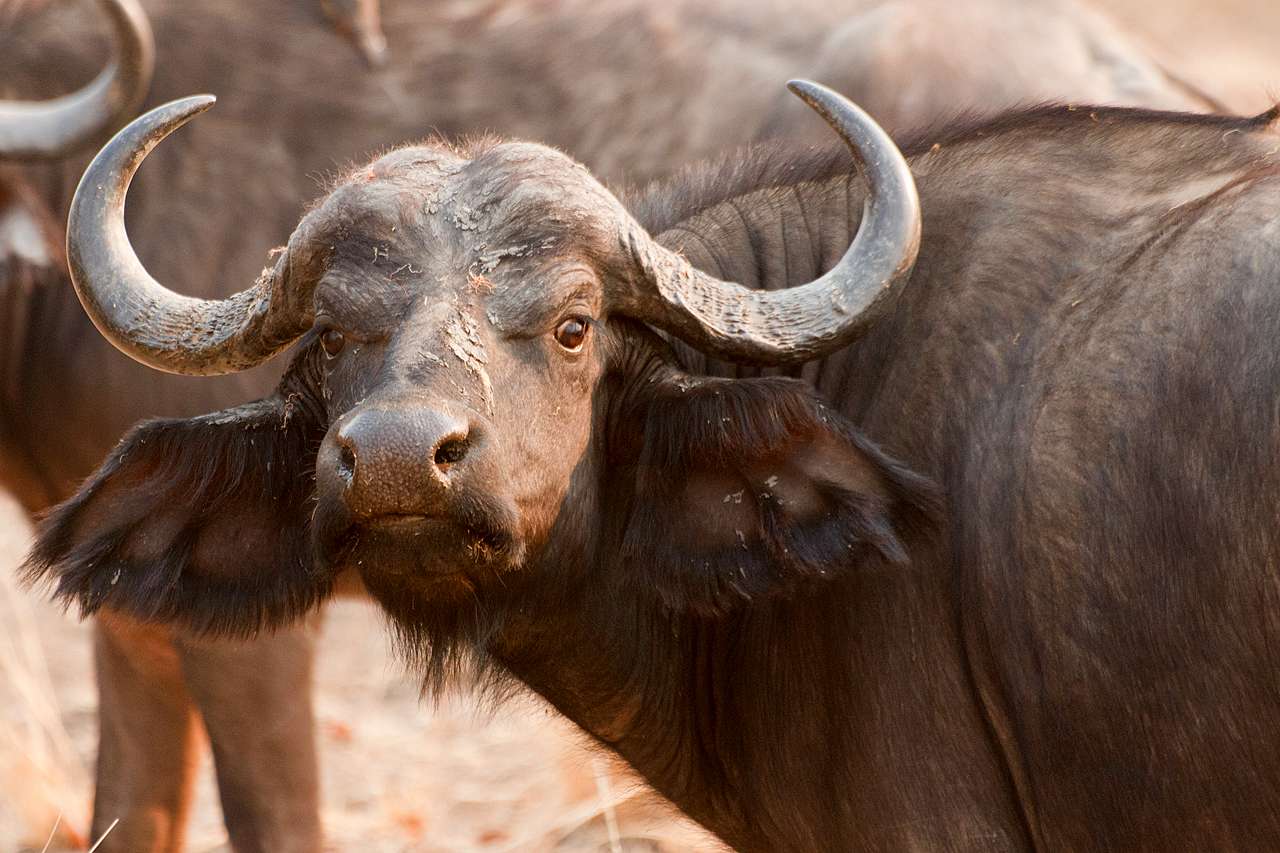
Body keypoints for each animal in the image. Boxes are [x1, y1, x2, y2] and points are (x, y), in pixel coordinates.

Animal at [2, 0, 1225, 848]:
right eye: (333, 334)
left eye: (574, 325)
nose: (395, 459)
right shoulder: (134, 625)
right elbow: (130, 810)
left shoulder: (255, 649)